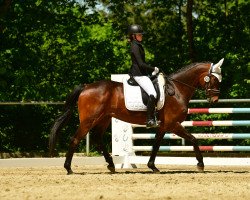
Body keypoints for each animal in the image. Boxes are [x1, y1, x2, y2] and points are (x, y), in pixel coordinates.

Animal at [48, 58, 223, 174]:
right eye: (214, 79)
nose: (215, 99)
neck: (178, 89)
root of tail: (86, 87)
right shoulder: (173, 124)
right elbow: (193, 139)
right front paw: (200, 164)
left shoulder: (164, 126)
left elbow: (156, 145)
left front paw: (153, 166)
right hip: (88, 120)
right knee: (75, 139)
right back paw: (68, 168)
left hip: (103, 119)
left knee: (98, 138)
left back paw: (111, 165)